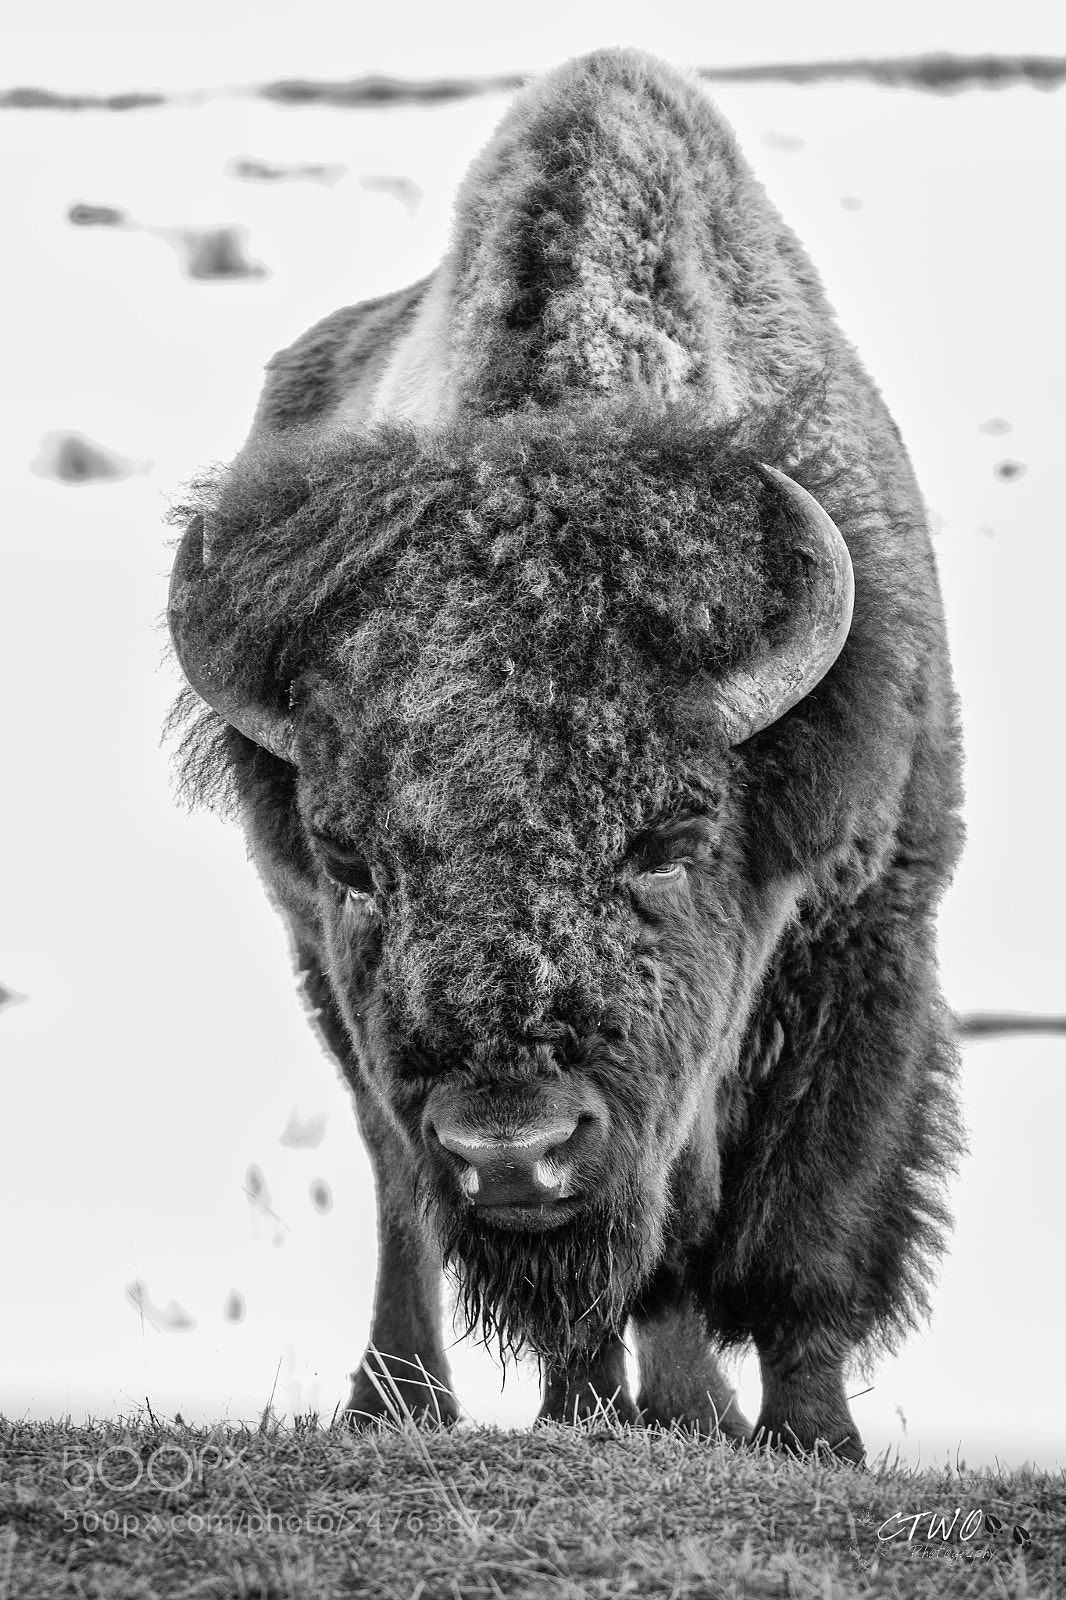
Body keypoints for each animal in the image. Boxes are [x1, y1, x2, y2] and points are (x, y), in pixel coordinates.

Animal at [168, 49, 964, 1460]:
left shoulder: (870, 928)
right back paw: (406, 1398)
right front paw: (587, 1411)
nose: (509, 1147)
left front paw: (811, 1436)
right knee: (400, 1190)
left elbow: (803, 1221)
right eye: (353, 859)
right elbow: (582, 1266)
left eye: (666, 836)